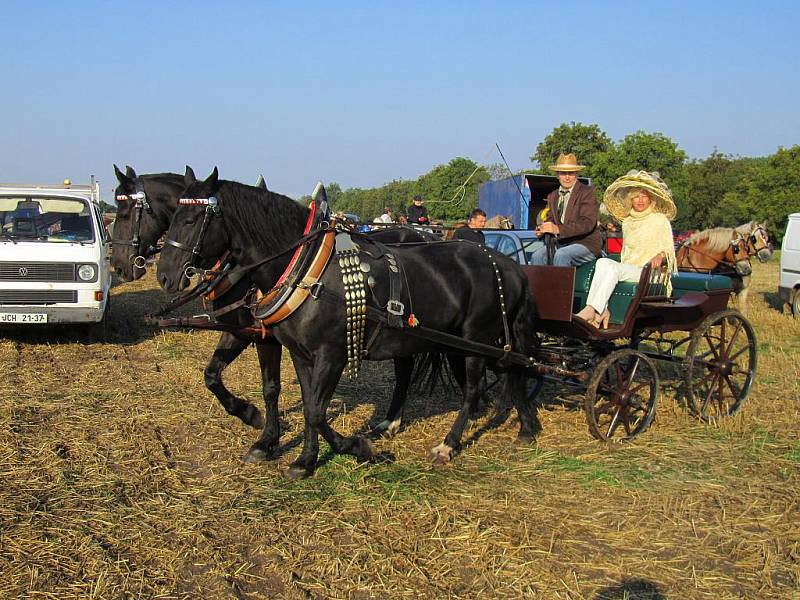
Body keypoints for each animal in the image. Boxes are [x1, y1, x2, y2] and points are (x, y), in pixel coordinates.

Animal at [112, 164, 446, 460]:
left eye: (127, 212)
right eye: (175, 218)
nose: (121, 266)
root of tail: (426, 235)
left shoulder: (264, 337)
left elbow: (272, 388)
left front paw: (261, 430)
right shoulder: (240, 330)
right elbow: (214, 376)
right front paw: (255, 422)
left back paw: (391, 422)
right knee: (405, 365)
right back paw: (391, 421)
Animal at [156, 166, 540, 480]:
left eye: (193, 219)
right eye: (172, 215)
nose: (164, 275)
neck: (305, 268)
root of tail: (507, 263)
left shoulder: (330, 354)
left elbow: (313, 409)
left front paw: (357, 449)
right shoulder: (295, 351)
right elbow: (301, 402)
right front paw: (303, 459)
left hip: (477, 340)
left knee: (476, 388)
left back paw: (450, 442)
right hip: (443, 340)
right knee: (496, 371)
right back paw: (519, 424)